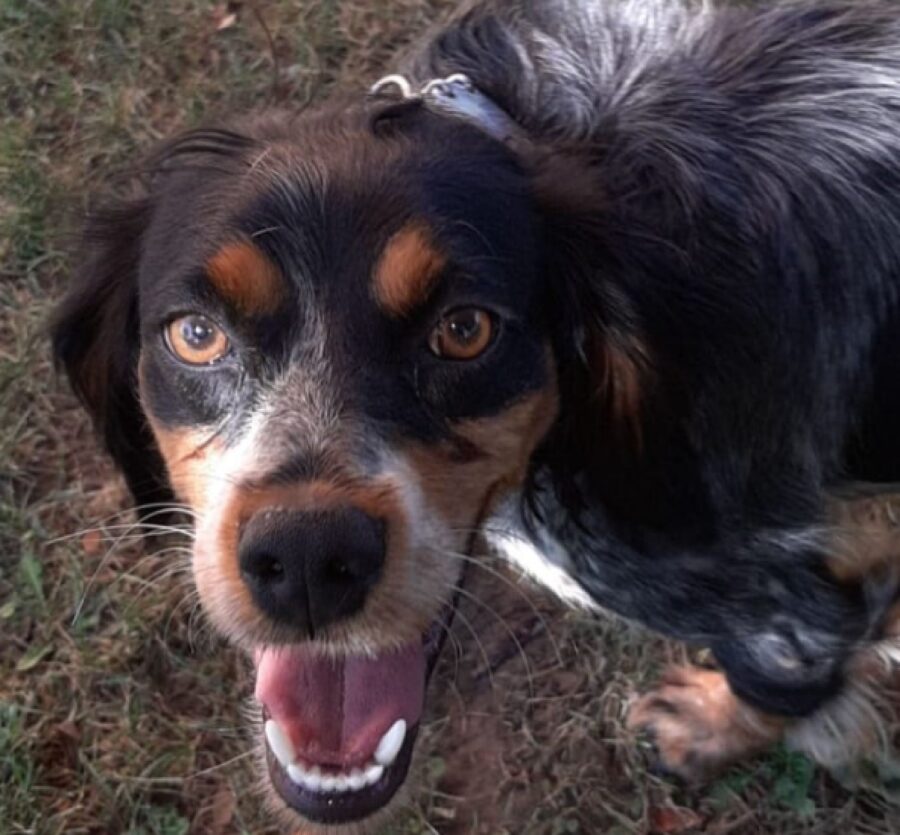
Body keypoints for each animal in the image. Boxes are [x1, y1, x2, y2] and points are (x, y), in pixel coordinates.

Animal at [51, 0, 900, 828]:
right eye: (196, 334)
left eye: (464, 330)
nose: (305, 558)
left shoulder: (779, 596)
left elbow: (782, 670)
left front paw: (708, 726)